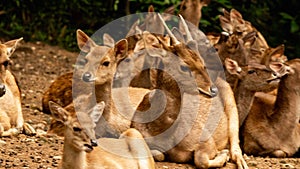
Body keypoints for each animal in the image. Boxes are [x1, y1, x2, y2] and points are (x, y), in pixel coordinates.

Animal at [130, 14, 247, 169]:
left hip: (232, 105)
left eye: (202, 63)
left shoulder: (206, 138)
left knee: (236, 144)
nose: (213, 89)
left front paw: (223, 155)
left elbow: (201, 160)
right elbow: (158, 154)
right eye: (184, 66)